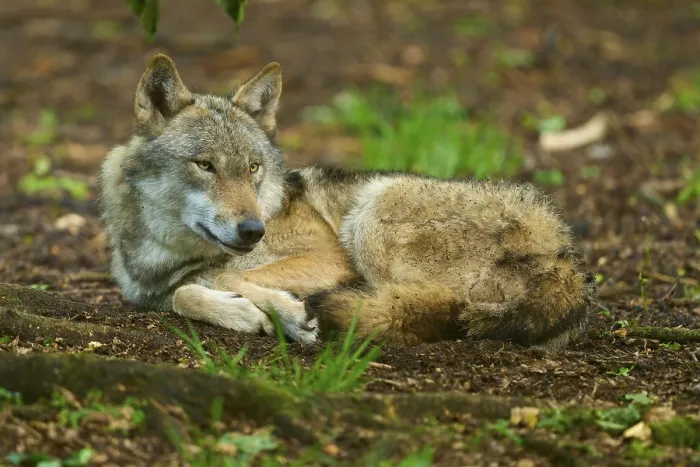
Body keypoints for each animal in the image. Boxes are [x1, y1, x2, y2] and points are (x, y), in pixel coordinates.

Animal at [99, 53, 597, 348]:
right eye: (205, 166)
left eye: (253, 168)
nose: (253, 230)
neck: (164, 258)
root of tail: (564, 253)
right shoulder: (150, 295)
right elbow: (185, 294)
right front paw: (250, 312)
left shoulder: (328, 256)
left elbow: (213, 279)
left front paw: (287, 313)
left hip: (373, 209)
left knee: (418, 306)